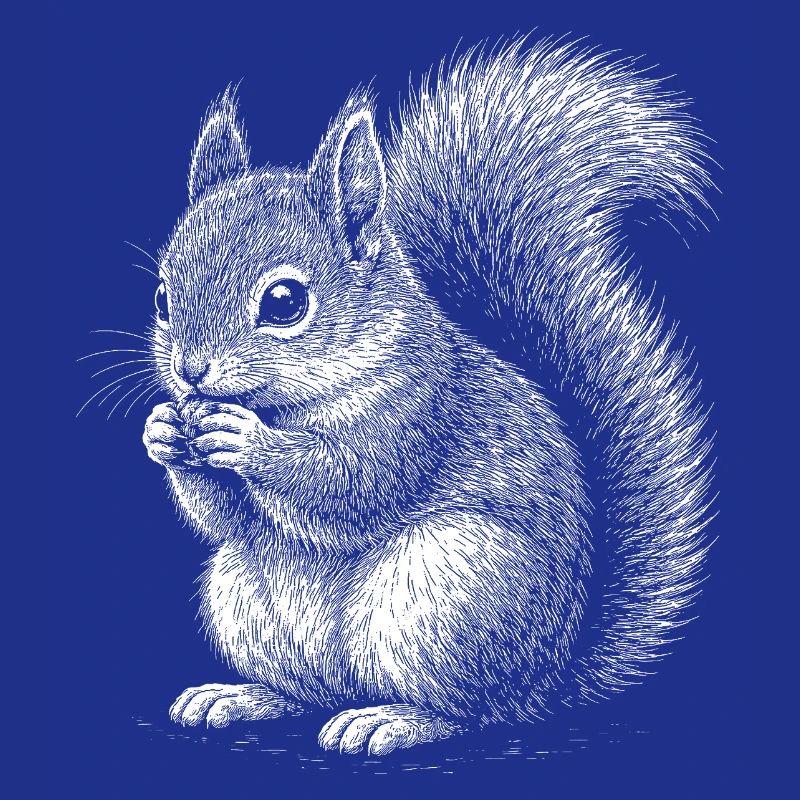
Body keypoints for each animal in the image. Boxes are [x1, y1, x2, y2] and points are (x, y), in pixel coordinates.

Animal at [139, 37, 714, 755]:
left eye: (284, 302)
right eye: (162, 297)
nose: (190, 372)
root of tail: (546, 683)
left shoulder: (417, 409)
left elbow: (352, 485)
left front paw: (246, 442)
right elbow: (225, 519)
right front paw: (163, 431)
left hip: (443, 596)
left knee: (472, 711)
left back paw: (394, 719)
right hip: (245, 600)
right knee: (310, 691)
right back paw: (244, 696)